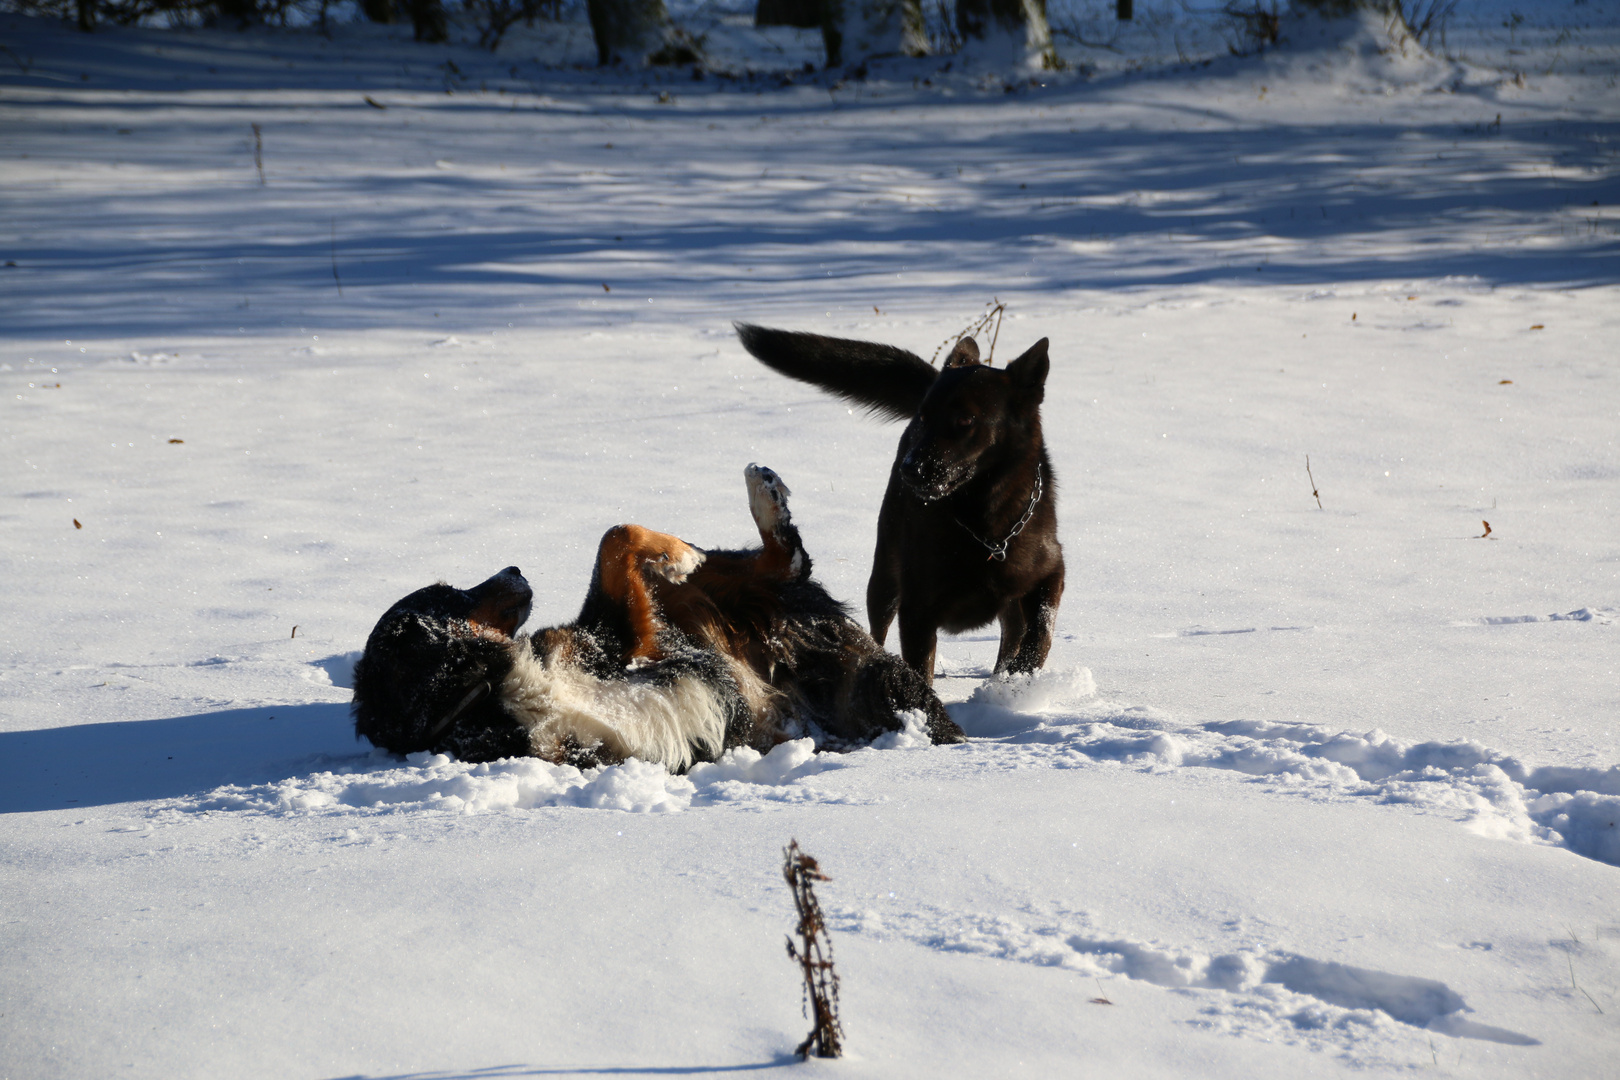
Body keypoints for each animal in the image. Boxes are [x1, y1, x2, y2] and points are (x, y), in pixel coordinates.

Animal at [351, 466, 959, 767]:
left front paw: (677, 552)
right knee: (783, 564)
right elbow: (616, 539)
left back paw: (757, 497)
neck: (490, 692)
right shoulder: (620, 652)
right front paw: (676, 553)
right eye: (449, 593)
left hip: (722, 601)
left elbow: (615, 535)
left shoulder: (616, 640)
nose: (516, 568)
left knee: (779, 559)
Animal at [735, 325, 1062, 689]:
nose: (910, 469)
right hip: (884, 579)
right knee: (875, 631)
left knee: (1013, 632)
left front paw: (1024, 676)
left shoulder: (1049, 572)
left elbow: (1042, 629)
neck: (983, 523)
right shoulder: (917, 609)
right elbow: (920, 669)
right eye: (924, 416)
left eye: (965, 420)